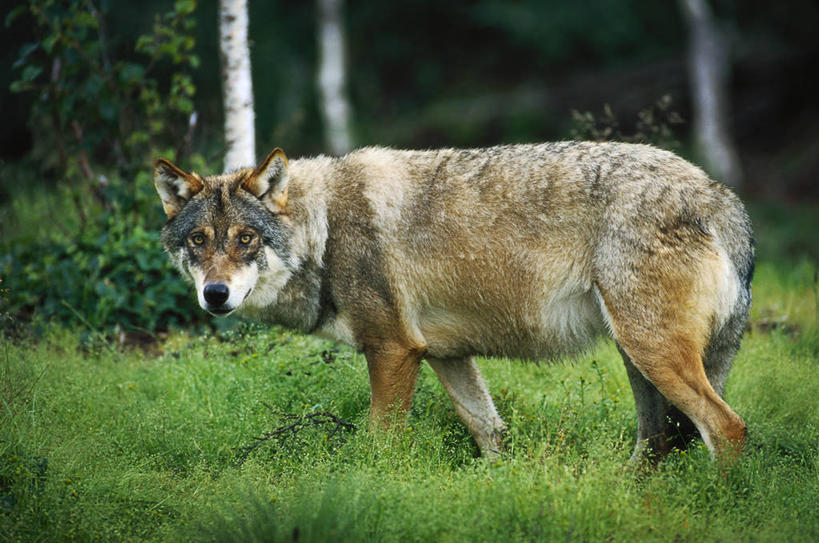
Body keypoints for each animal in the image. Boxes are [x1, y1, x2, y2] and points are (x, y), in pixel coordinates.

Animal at [154, 143, 756, 464]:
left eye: (245, 239)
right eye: (199, 241)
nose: (215, 294)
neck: (323, 231)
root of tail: (719, 195)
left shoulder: (394, 351)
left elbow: (377, 444)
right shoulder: (444, 355)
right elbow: (489, 432)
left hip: (651, 352)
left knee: (727, 428)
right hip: (639, 360)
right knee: (659, 440)